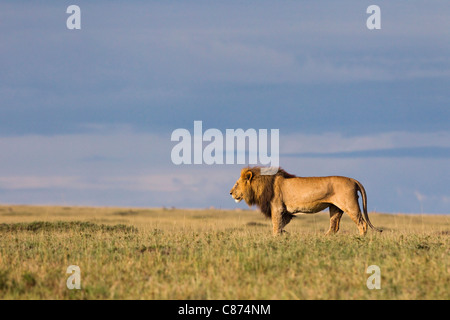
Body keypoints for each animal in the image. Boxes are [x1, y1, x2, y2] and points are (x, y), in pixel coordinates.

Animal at [230, 168, 382, 235]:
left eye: (236, 184)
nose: (230, 193)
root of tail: (353, 180)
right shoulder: (285, 212)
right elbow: (280, 225)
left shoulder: (277, 208)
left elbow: (275, 226)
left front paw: (275, 239)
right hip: (335, 208)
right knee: (334, 227)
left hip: (350, 205)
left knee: (362, 224)